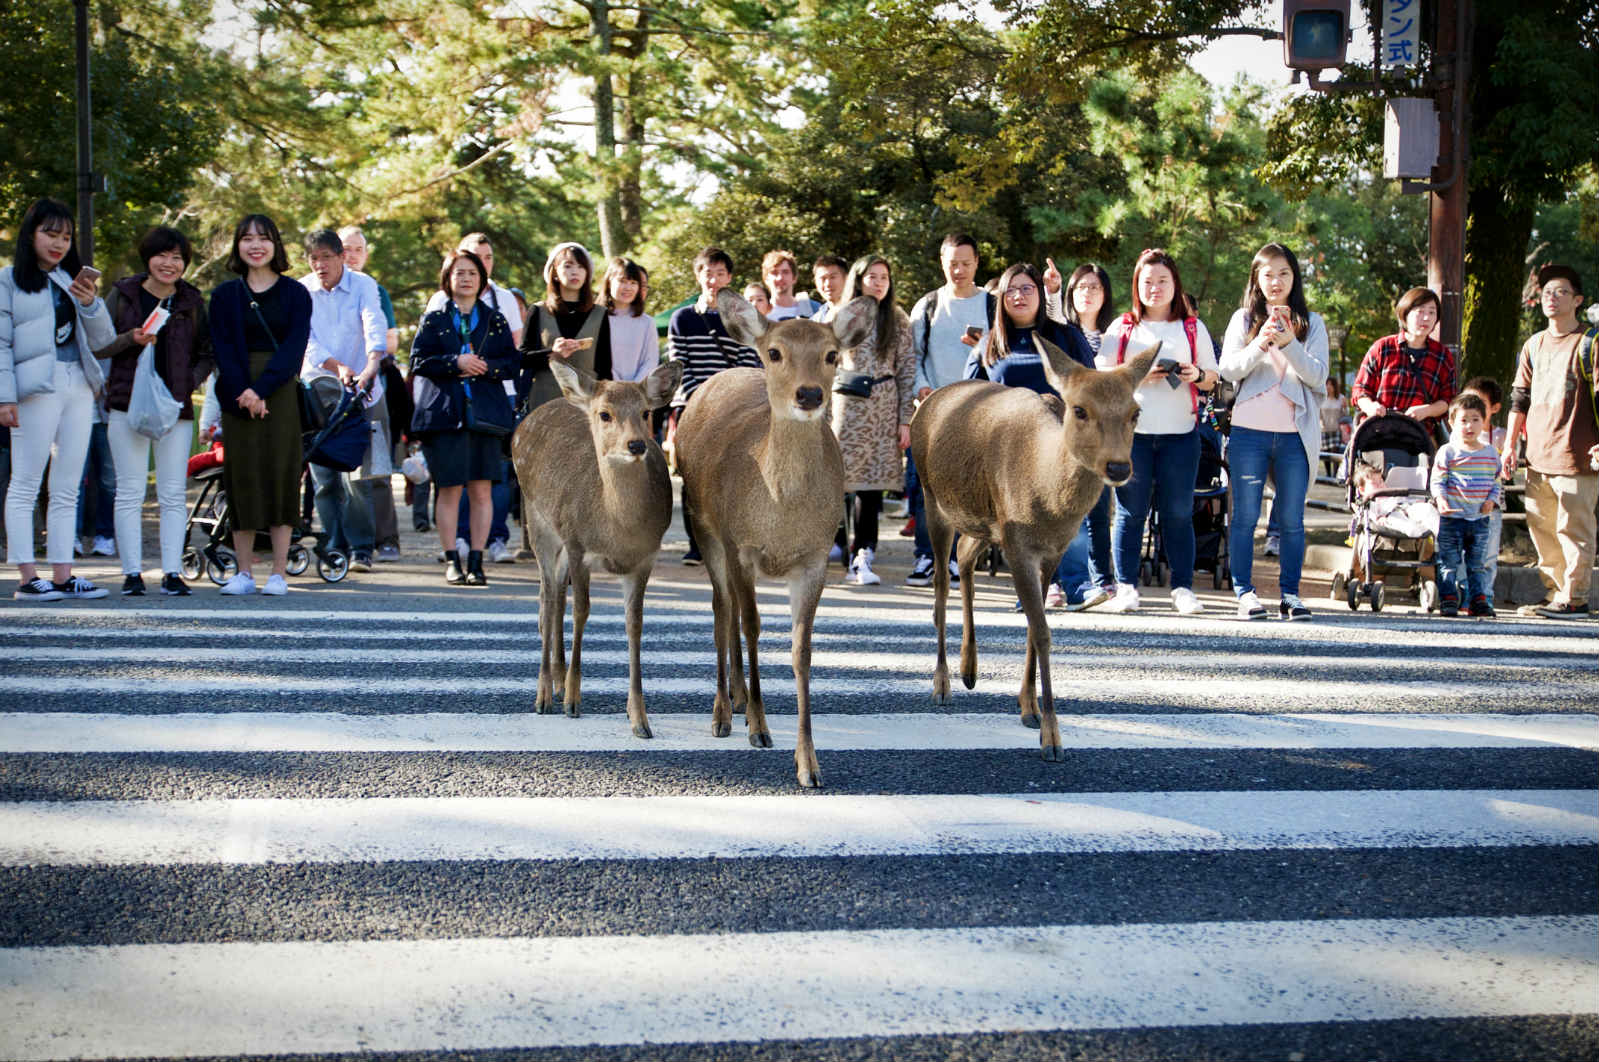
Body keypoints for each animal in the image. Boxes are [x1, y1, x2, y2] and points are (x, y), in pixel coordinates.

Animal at [514, 356, 684, 738]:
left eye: (645, 411)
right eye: (605, 414)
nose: (636, 445)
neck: (616, 530)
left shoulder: (644, 559)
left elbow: (634, 623)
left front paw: (639, 718)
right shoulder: (578, 544)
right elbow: (582, 611)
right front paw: (573, 702)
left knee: (557, 596)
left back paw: (557, 680)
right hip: (538, 521)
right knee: (547, 599)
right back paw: (545, 695)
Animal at [671, 286, 876, 783]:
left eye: (831, 354)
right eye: (775, 352)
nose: (809, 394)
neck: (782, 516)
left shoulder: (815, 557)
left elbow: (802, 649)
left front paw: (809, 763)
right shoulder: (741, 545)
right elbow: (752, 626)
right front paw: (760, 729)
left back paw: (739, 699)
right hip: (706, 529)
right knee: (722, 612)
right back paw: (724, 713)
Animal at [908, 335, 1157, 758]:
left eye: (1135, 412)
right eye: (1080, 409)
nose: (1118, 467)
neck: (1048, 500)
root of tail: (926, 400)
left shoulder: (1050, 549)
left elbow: (1033, 624)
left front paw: (1029, 707)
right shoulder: (1018, 545)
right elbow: (1041, 631)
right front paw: (1052, 737)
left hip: (984, 521)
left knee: (965, 557)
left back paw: (970, 669)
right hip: (933, 498)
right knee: (941, 584)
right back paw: (942, 683)